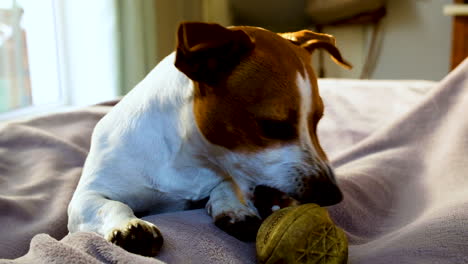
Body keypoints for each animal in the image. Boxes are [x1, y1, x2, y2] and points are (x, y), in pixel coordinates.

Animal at [66, 21, 352, 256]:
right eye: (272, 126)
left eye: (317, 120)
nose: (333, 195)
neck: (185, 157)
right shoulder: (86, 197)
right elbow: (111, 206)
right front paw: (131, 226)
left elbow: (225, 187)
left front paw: (235, 210)